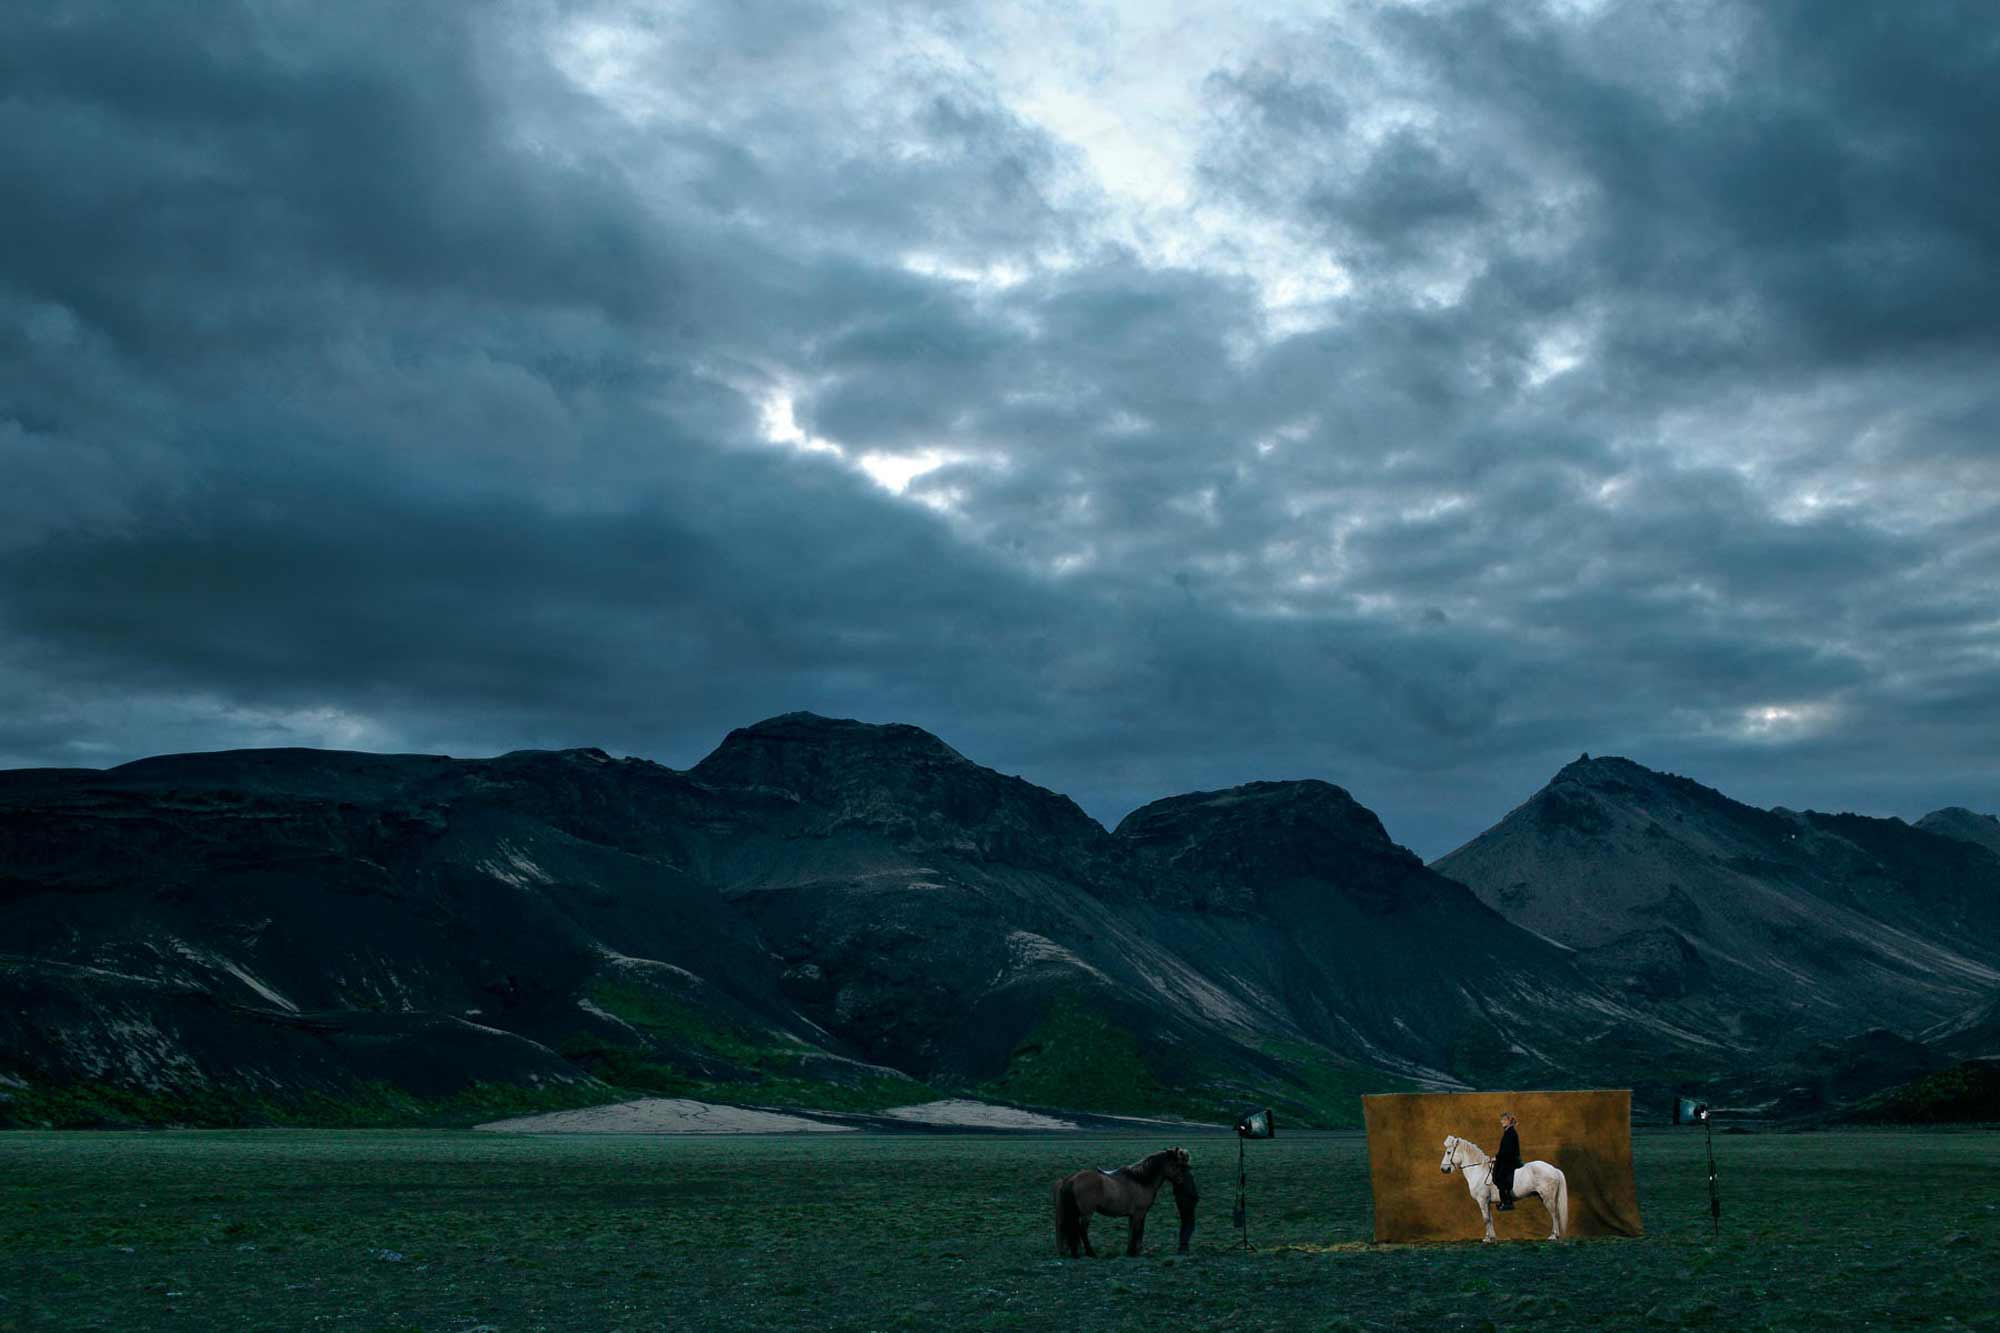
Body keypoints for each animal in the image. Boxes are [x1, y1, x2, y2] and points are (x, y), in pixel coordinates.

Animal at [1056, 1144, 1192, 1256]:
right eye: (1177, 1164)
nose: (1182, 1182)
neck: (1141, 1180)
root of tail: (1072, 1179)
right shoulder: (1139, 1213)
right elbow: (1137, 1231)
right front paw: (1133, 1252)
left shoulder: (1134, 1215)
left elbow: (1132, 1232)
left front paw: (1131, 1251)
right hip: (1087, 1213)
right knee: (1082, 1230)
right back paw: (1091, 1253)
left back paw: (1075, 1252)